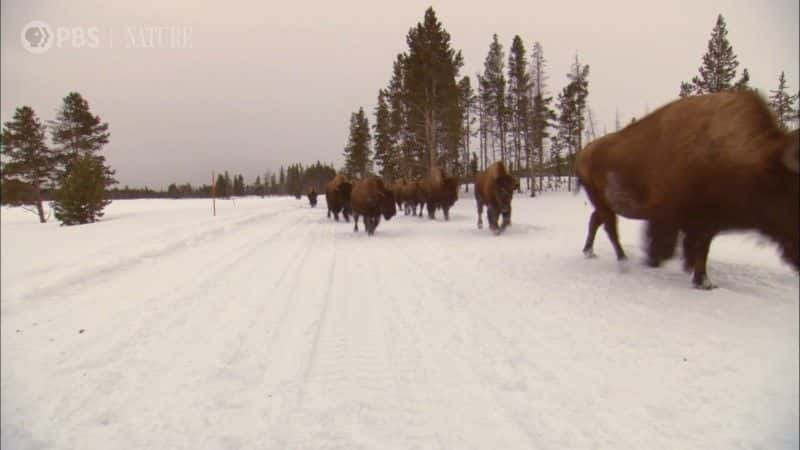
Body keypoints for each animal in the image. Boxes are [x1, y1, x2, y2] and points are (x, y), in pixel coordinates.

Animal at [580, 90, 796, 290]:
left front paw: (699, 278)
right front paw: (700, 281)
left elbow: (699, 249)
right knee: (610, 228)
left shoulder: (705, 223)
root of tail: (584, 152)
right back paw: (622, 261)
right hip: (601, 202)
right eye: (794, 191)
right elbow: (681, 247)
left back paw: (590, 252)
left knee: (596, 221)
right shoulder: (681, 220)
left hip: (604, 204)